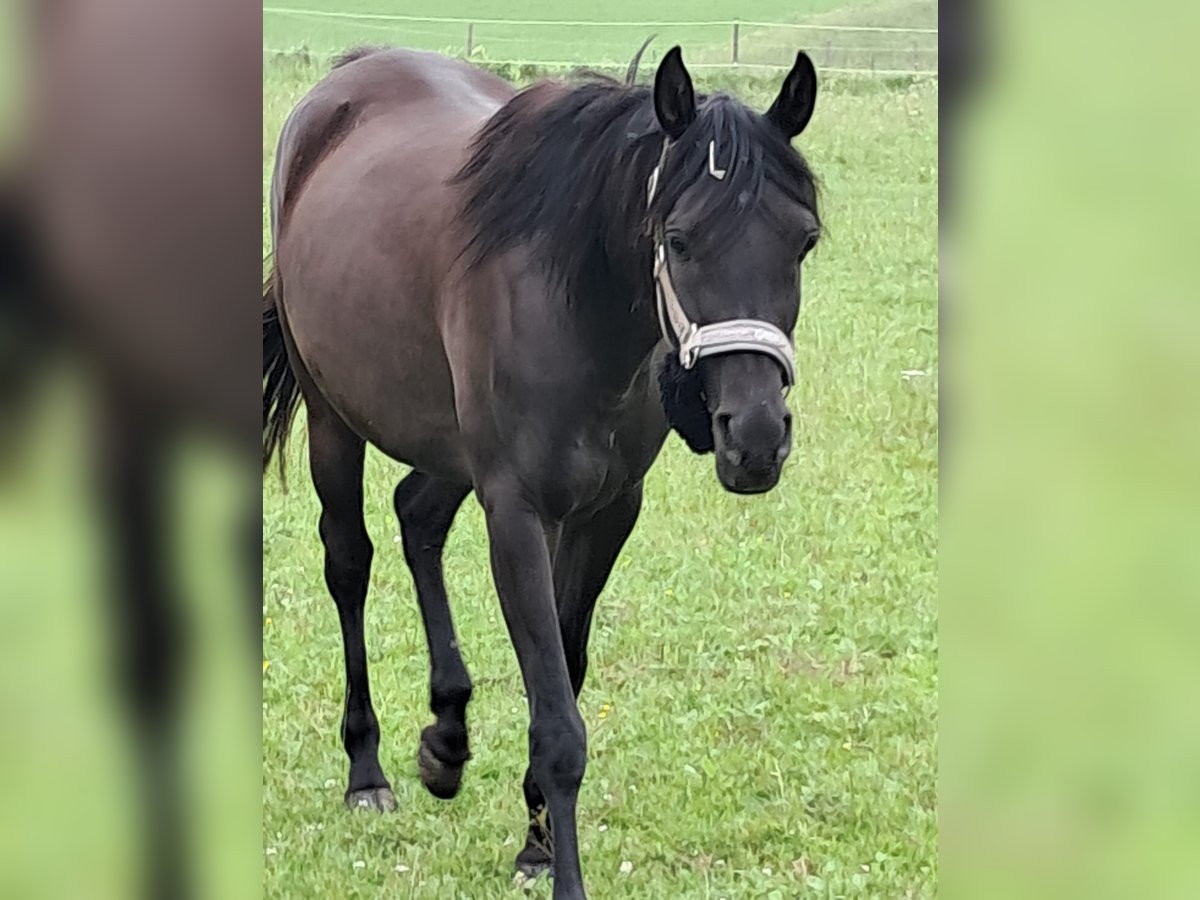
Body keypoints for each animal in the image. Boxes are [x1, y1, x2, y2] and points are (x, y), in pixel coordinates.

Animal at [264, 44, 820, 900]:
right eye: (681, 239)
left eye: (803, 242)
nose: (755, 437)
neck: (576, 304)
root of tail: (349, 74)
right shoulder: (519, 514)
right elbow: (557, 720)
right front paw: (560, 870)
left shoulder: (607, 512)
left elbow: (566, 667)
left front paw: (532, 842)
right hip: (333, 416)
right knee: (349, 562)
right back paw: (368, 767)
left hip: (448, 447)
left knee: (418, 517)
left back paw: (447, 736)